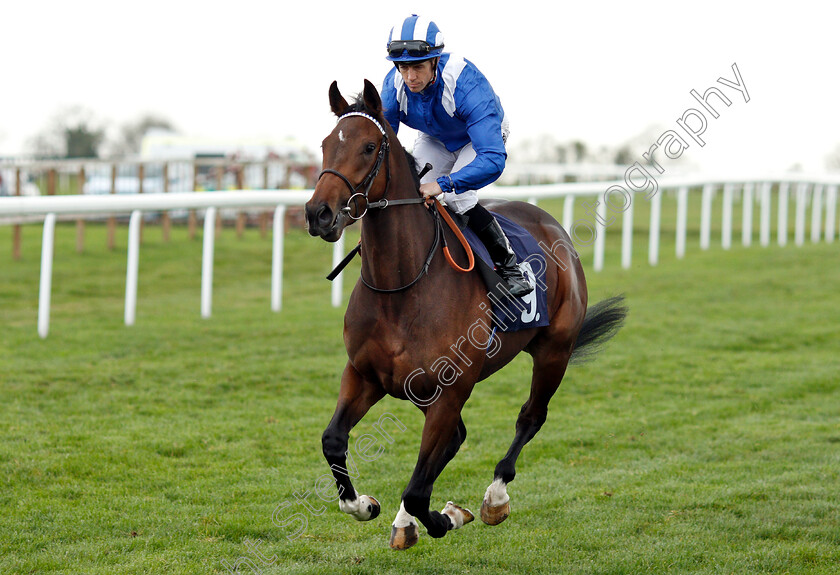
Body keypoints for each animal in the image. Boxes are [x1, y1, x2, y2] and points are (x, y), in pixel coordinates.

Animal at [304, 80, 624, 548]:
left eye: (368, 147)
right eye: (326, 145)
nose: (318, 213)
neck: (403, 288)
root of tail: (550, 223)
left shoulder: (450, 390)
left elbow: (419, 491)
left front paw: (447, 517)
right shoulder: (365, 375)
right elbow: (333, 440)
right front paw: (364, 505)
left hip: (554, 351)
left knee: (530, 417)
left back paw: (495, 498)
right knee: (455, 439)